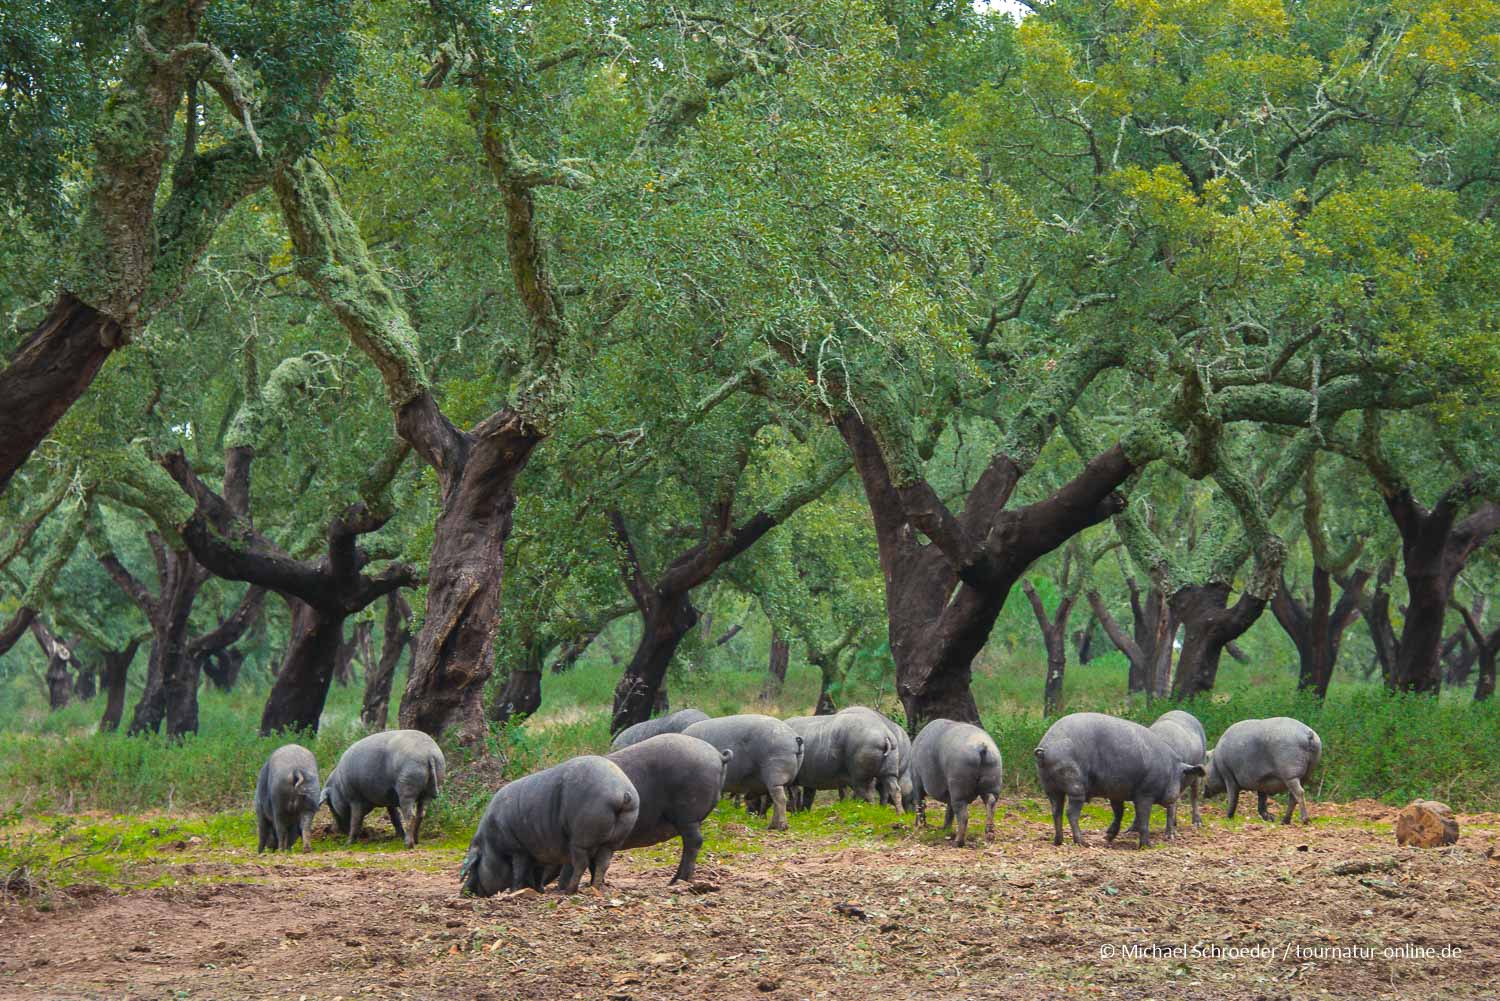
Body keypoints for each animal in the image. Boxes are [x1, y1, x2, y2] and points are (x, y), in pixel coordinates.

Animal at [459, 756, 642, 894]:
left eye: (474, 867)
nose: (462, 892)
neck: (490, 843)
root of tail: (623, 792)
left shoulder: (517, 849)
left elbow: (518, 872)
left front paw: (514, 891)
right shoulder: (538, 853)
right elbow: (536, 873)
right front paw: (538, 891)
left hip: (581, 840)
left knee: (581, 863)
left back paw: (568, 891)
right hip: (612, 842)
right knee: (602, 863)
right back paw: (594, 888)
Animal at [1038, 708, 1200, 852]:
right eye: (1178, 776)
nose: (1174, 797)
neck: (1168, 767)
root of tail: (1045, 749)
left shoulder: (1116, 791)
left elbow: (1119, 812)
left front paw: (1107, 837)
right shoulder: (1145, 793)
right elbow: (1143, 818)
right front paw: (1147, 846)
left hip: (1050, 787)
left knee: (1056, 811)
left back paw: (1058, 842)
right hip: (1074, 784)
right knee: (1071, 812)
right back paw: (1083, 843)